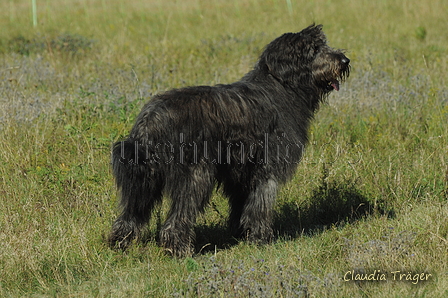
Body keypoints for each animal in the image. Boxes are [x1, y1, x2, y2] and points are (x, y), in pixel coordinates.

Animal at [108, 24, 350, 258]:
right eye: (315, 49)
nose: (345, 61)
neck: (281, 86)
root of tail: (151, 118)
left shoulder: (241, 173)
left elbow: (241, 206)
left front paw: (241, 234)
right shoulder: (267, 169)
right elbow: (260, 205)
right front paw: (261, 240)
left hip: (144, 180)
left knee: (130, 215)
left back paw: (120, 244)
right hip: (195, 176)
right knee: (177, 220)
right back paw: (180, 250)